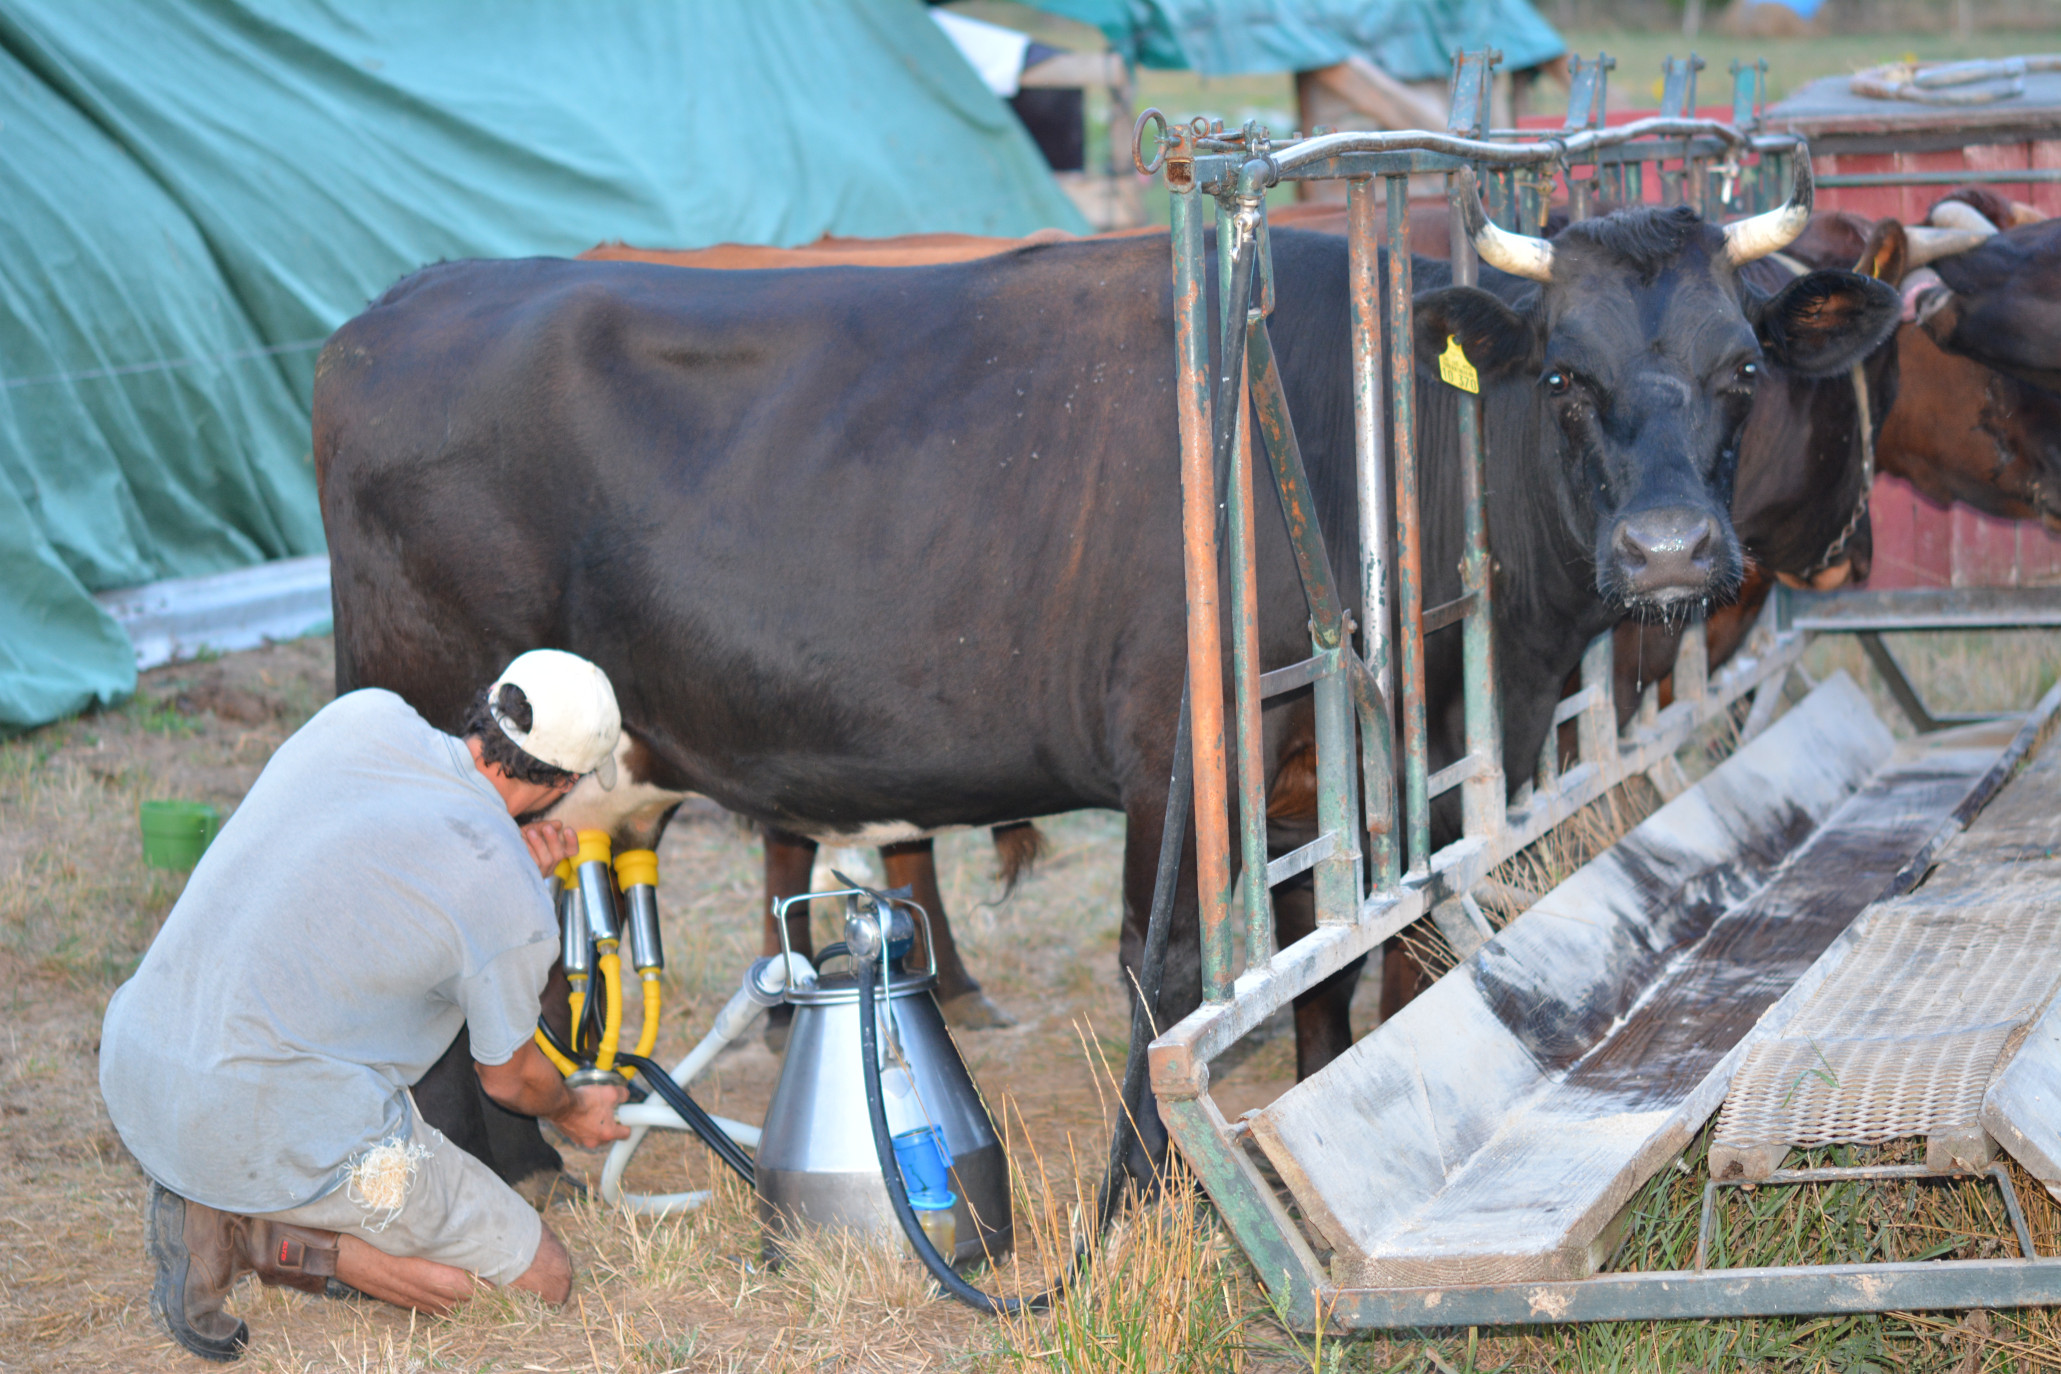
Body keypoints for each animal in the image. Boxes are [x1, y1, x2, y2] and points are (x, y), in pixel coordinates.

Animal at [313, 161, 1887, 1186]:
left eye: (1745, 369)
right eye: (1563, 373)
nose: (1671, 548)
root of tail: (395, 310)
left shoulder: (1342, 767)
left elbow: (1350, 950)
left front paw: (1322, 1090)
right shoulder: (1183, 750)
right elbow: (1172, 967)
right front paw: (1147, 1187)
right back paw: (494, 1178)